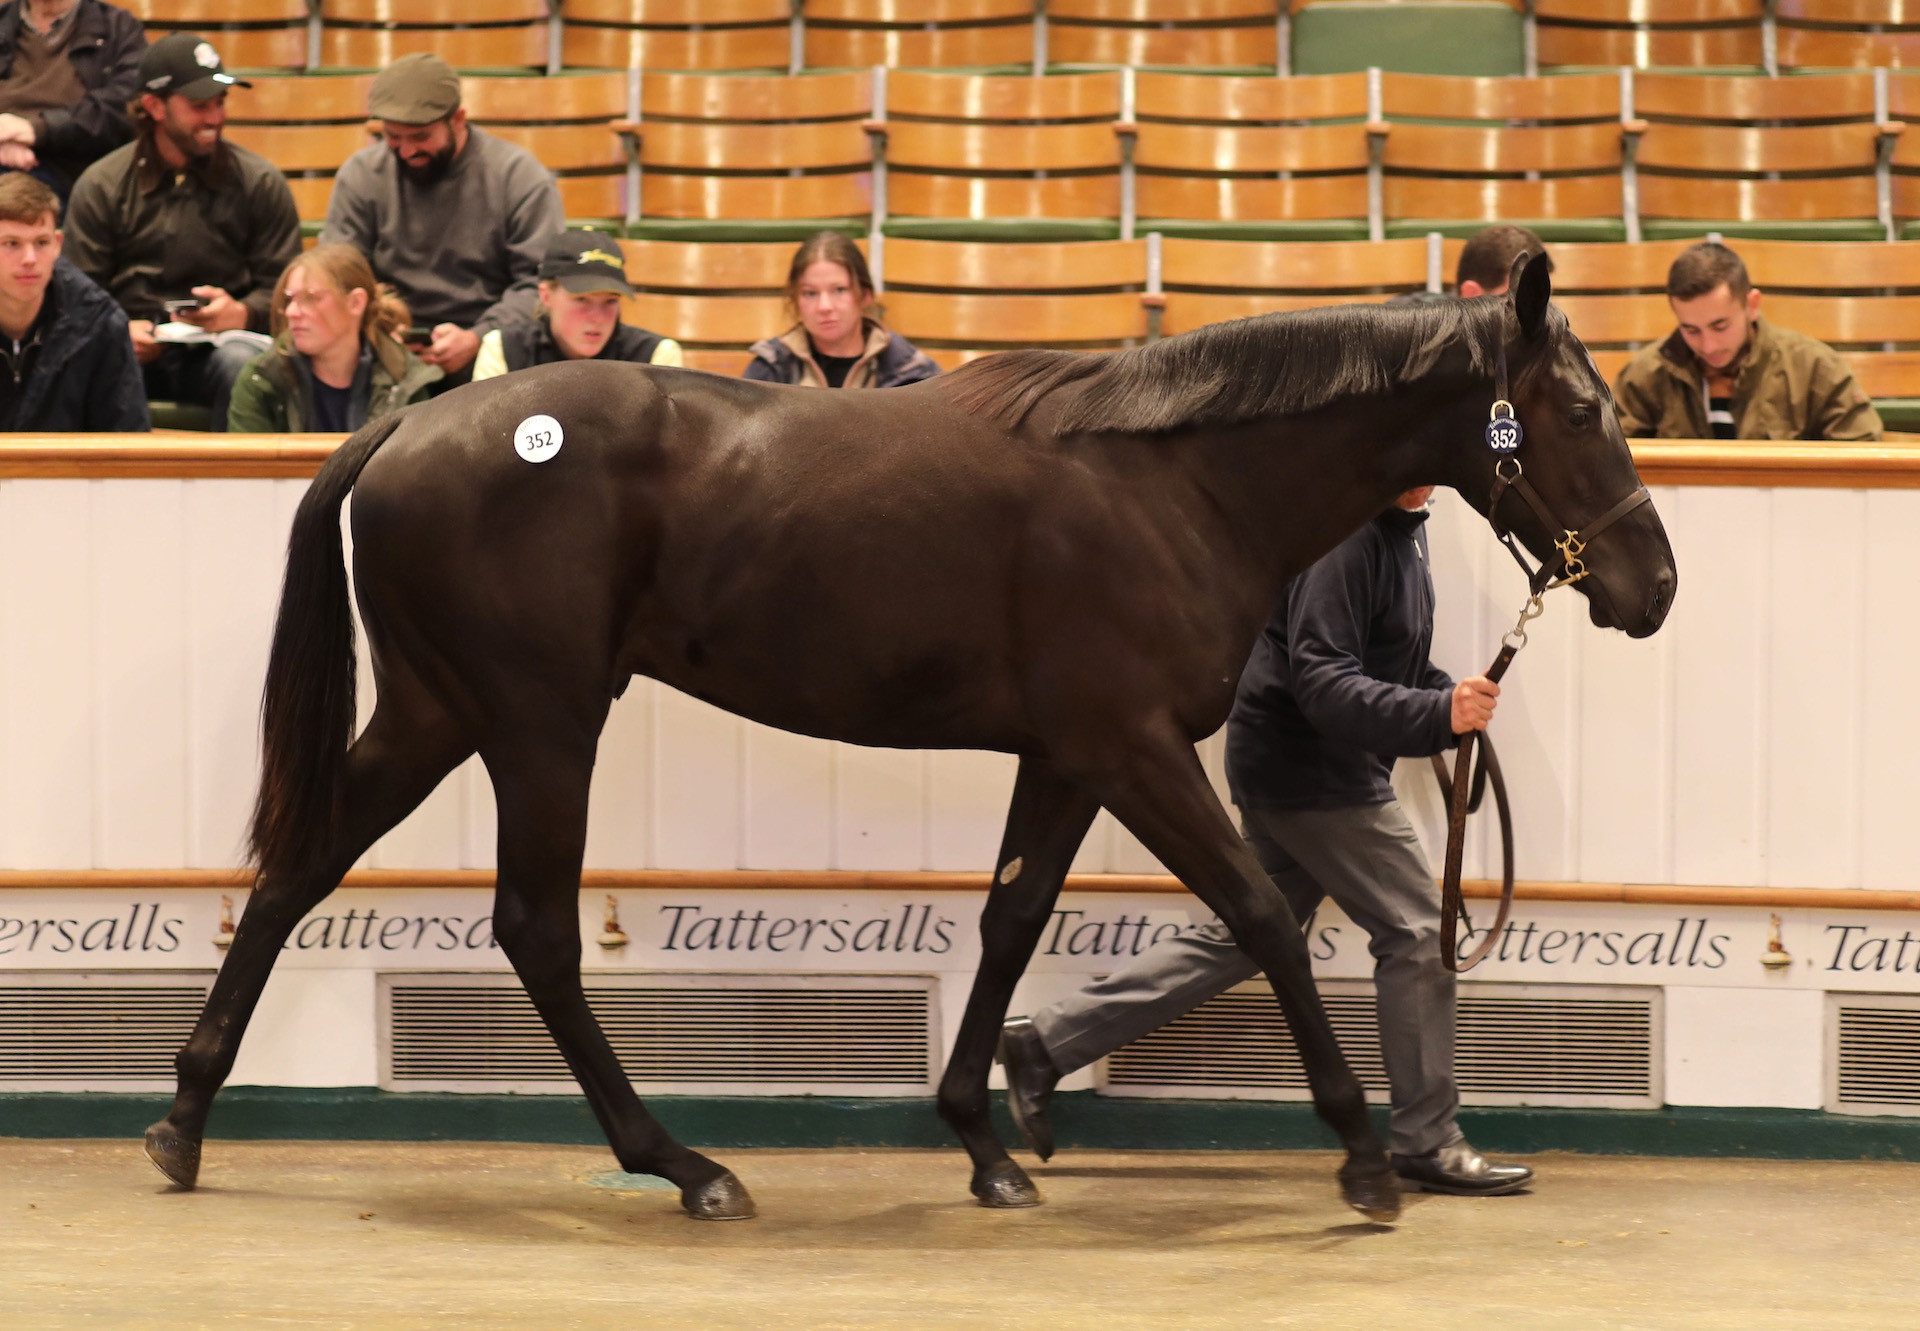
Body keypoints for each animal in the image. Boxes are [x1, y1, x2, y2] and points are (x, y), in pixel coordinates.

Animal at [142, 251, 1674, 1221]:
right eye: (1578, 407)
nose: (1652, 585)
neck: (1177, 482)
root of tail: (406, 434)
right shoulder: (1133, 747)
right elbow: (1258, 912)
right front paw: (1359, 1151)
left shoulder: (1065, 756)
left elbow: (1009, 920)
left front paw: (987, 1140)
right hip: (535, 722)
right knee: (531, 926)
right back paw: (685, 1162)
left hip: (438, 711)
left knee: (296, 868)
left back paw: (183, 1119)